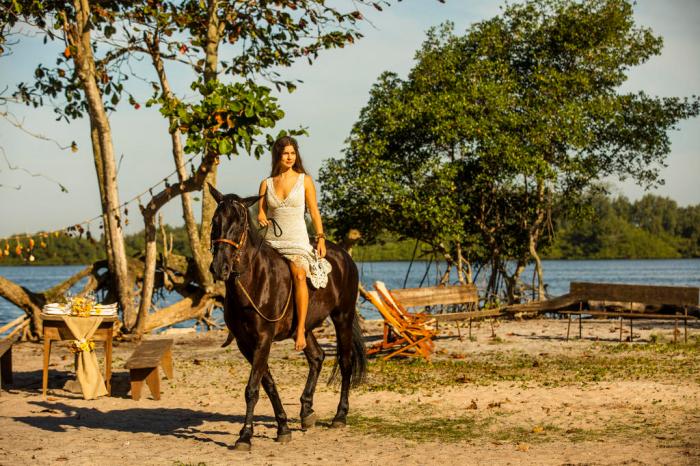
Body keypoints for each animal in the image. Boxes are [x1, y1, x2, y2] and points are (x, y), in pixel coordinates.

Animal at [208, 186, 370, 452]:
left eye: (240, 222)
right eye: (215, 221)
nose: (220, 267)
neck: (254, 280)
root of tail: (343, 256)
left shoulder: (263, 338)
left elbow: (252, 388)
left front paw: (245, 436)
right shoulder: (245, 343)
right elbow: (267, 383)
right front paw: (283, 427)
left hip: (343, 317)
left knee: (345, 362)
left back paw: (339, 416)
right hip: (304, 328)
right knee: (317, 357)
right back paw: (306, 411)